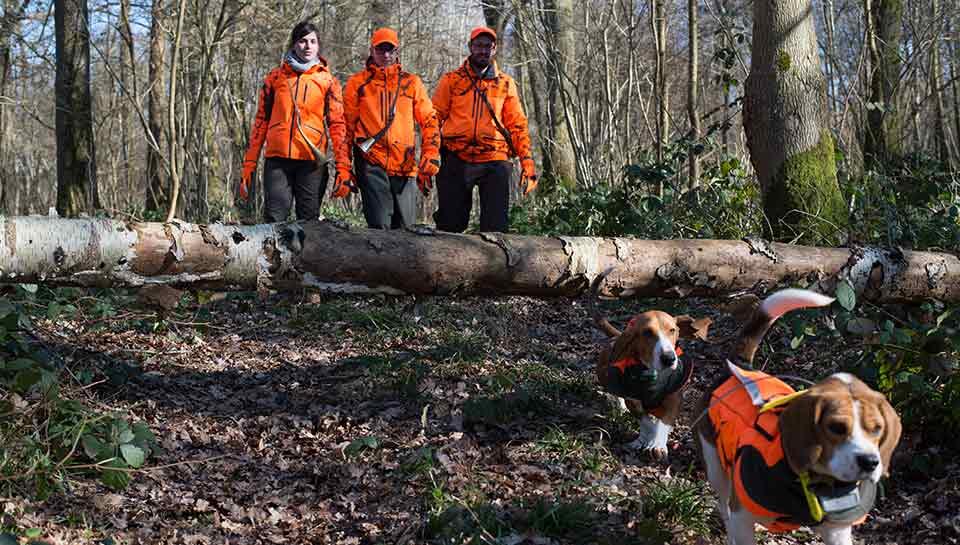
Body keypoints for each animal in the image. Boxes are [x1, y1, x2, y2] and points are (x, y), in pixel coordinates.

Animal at [584, 268, 712, 460]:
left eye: (672, 330)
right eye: (647, 333)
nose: (669, 358)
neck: (654, 375)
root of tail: (618, 335)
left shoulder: (674, 398)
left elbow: (663, 423)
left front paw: (657, 444)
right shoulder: (634, 400)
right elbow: (645, 421)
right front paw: (645, 440)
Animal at [692, 286, 904, 540]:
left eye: (878, 429)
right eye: (836, 427)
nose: (870, 462)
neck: (812, 483)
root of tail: (740, 365)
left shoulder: (837, 531)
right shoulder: (741, 517)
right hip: (715, 468)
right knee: (723, 504)